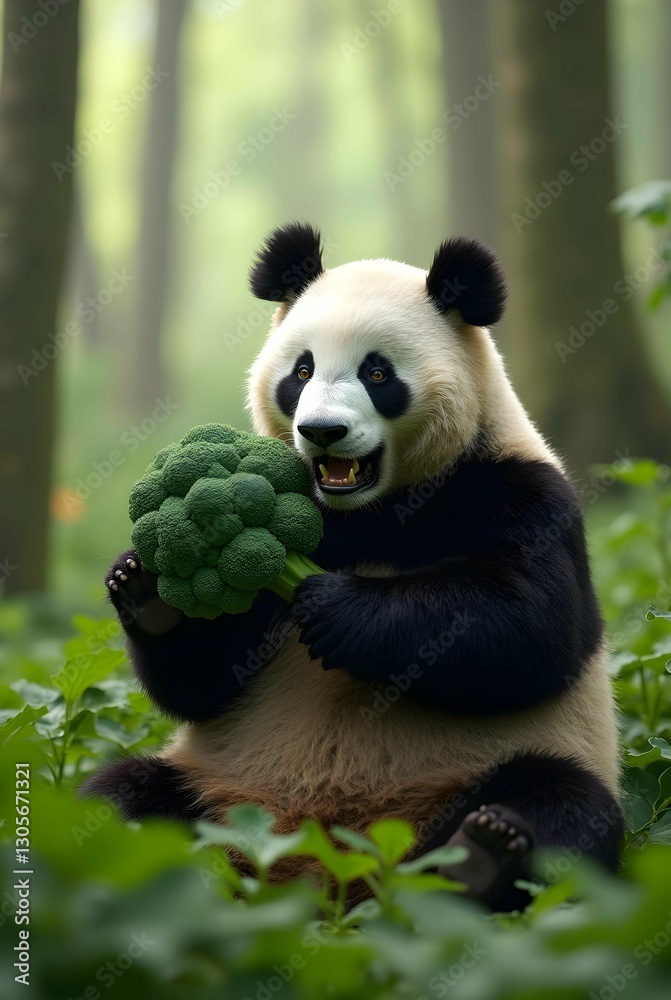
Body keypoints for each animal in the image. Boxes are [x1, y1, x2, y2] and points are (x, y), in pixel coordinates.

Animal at [83, 222, 623, 909]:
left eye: (377, 372)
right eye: (302, 369)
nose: (322, 431)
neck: (372, 509)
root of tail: (319, 872)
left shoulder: (522, 492)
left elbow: (529, 624)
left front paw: (331, 607)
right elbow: (203, 682)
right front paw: (144, 586)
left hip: (491, 769)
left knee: (562, 807)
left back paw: (480, 855)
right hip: (215, 786)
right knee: (121, 798)